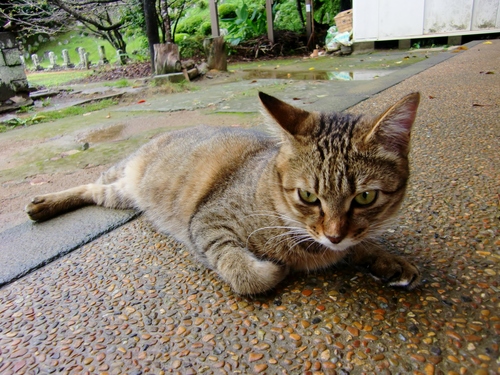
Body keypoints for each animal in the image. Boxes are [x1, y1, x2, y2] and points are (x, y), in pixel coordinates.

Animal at [26, 92, 422, 296]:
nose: (334, 235)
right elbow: (244, 272)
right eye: (308, 196)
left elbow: (362, 243)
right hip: (124, 177)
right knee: (90, 183)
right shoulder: (209, 222)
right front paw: (274, 270)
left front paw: (386, 258)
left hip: (121, 193)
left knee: (97, 191)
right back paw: (43, 203)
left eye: (365, 198)